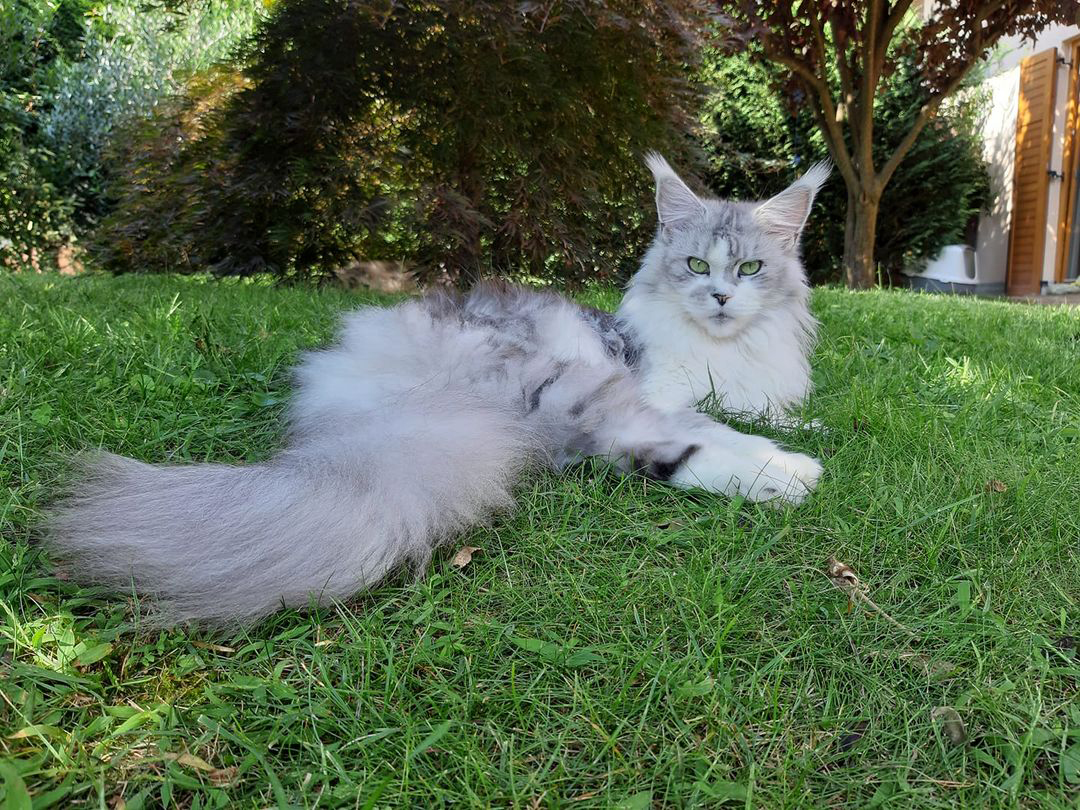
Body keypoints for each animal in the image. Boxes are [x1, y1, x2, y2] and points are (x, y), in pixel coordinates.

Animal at [43, 156, 827, 626]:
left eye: (751, 268)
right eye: (696, 265)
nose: (721, 298)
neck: (723, 351)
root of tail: (360, 393)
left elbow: (765, 408)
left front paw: (802, 423)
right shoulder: (659, 382)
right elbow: (709, 414)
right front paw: (792, 443)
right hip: (567, 381)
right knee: (667, 443)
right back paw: (788, 473)